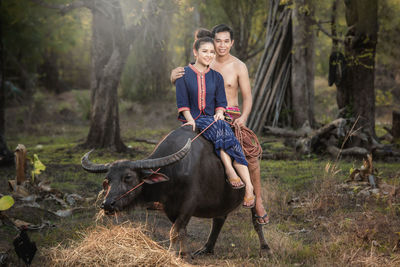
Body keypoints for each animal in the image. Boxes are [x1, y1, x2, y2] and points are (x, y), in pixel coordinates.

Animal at [81, 125, 268, 258]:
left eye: (128, 177)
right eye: (107, 180)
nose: (107, 204)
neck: (173, 172)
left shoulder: (188, 206)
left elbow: (174, 232)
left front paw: (171, 253)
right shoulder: (170, 208)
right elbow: (181, 231)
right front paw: (183, 253)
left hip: (254, 189)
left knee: (256, 219)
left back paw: (265, 250)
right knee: (219, 219)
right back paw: (207, 248)